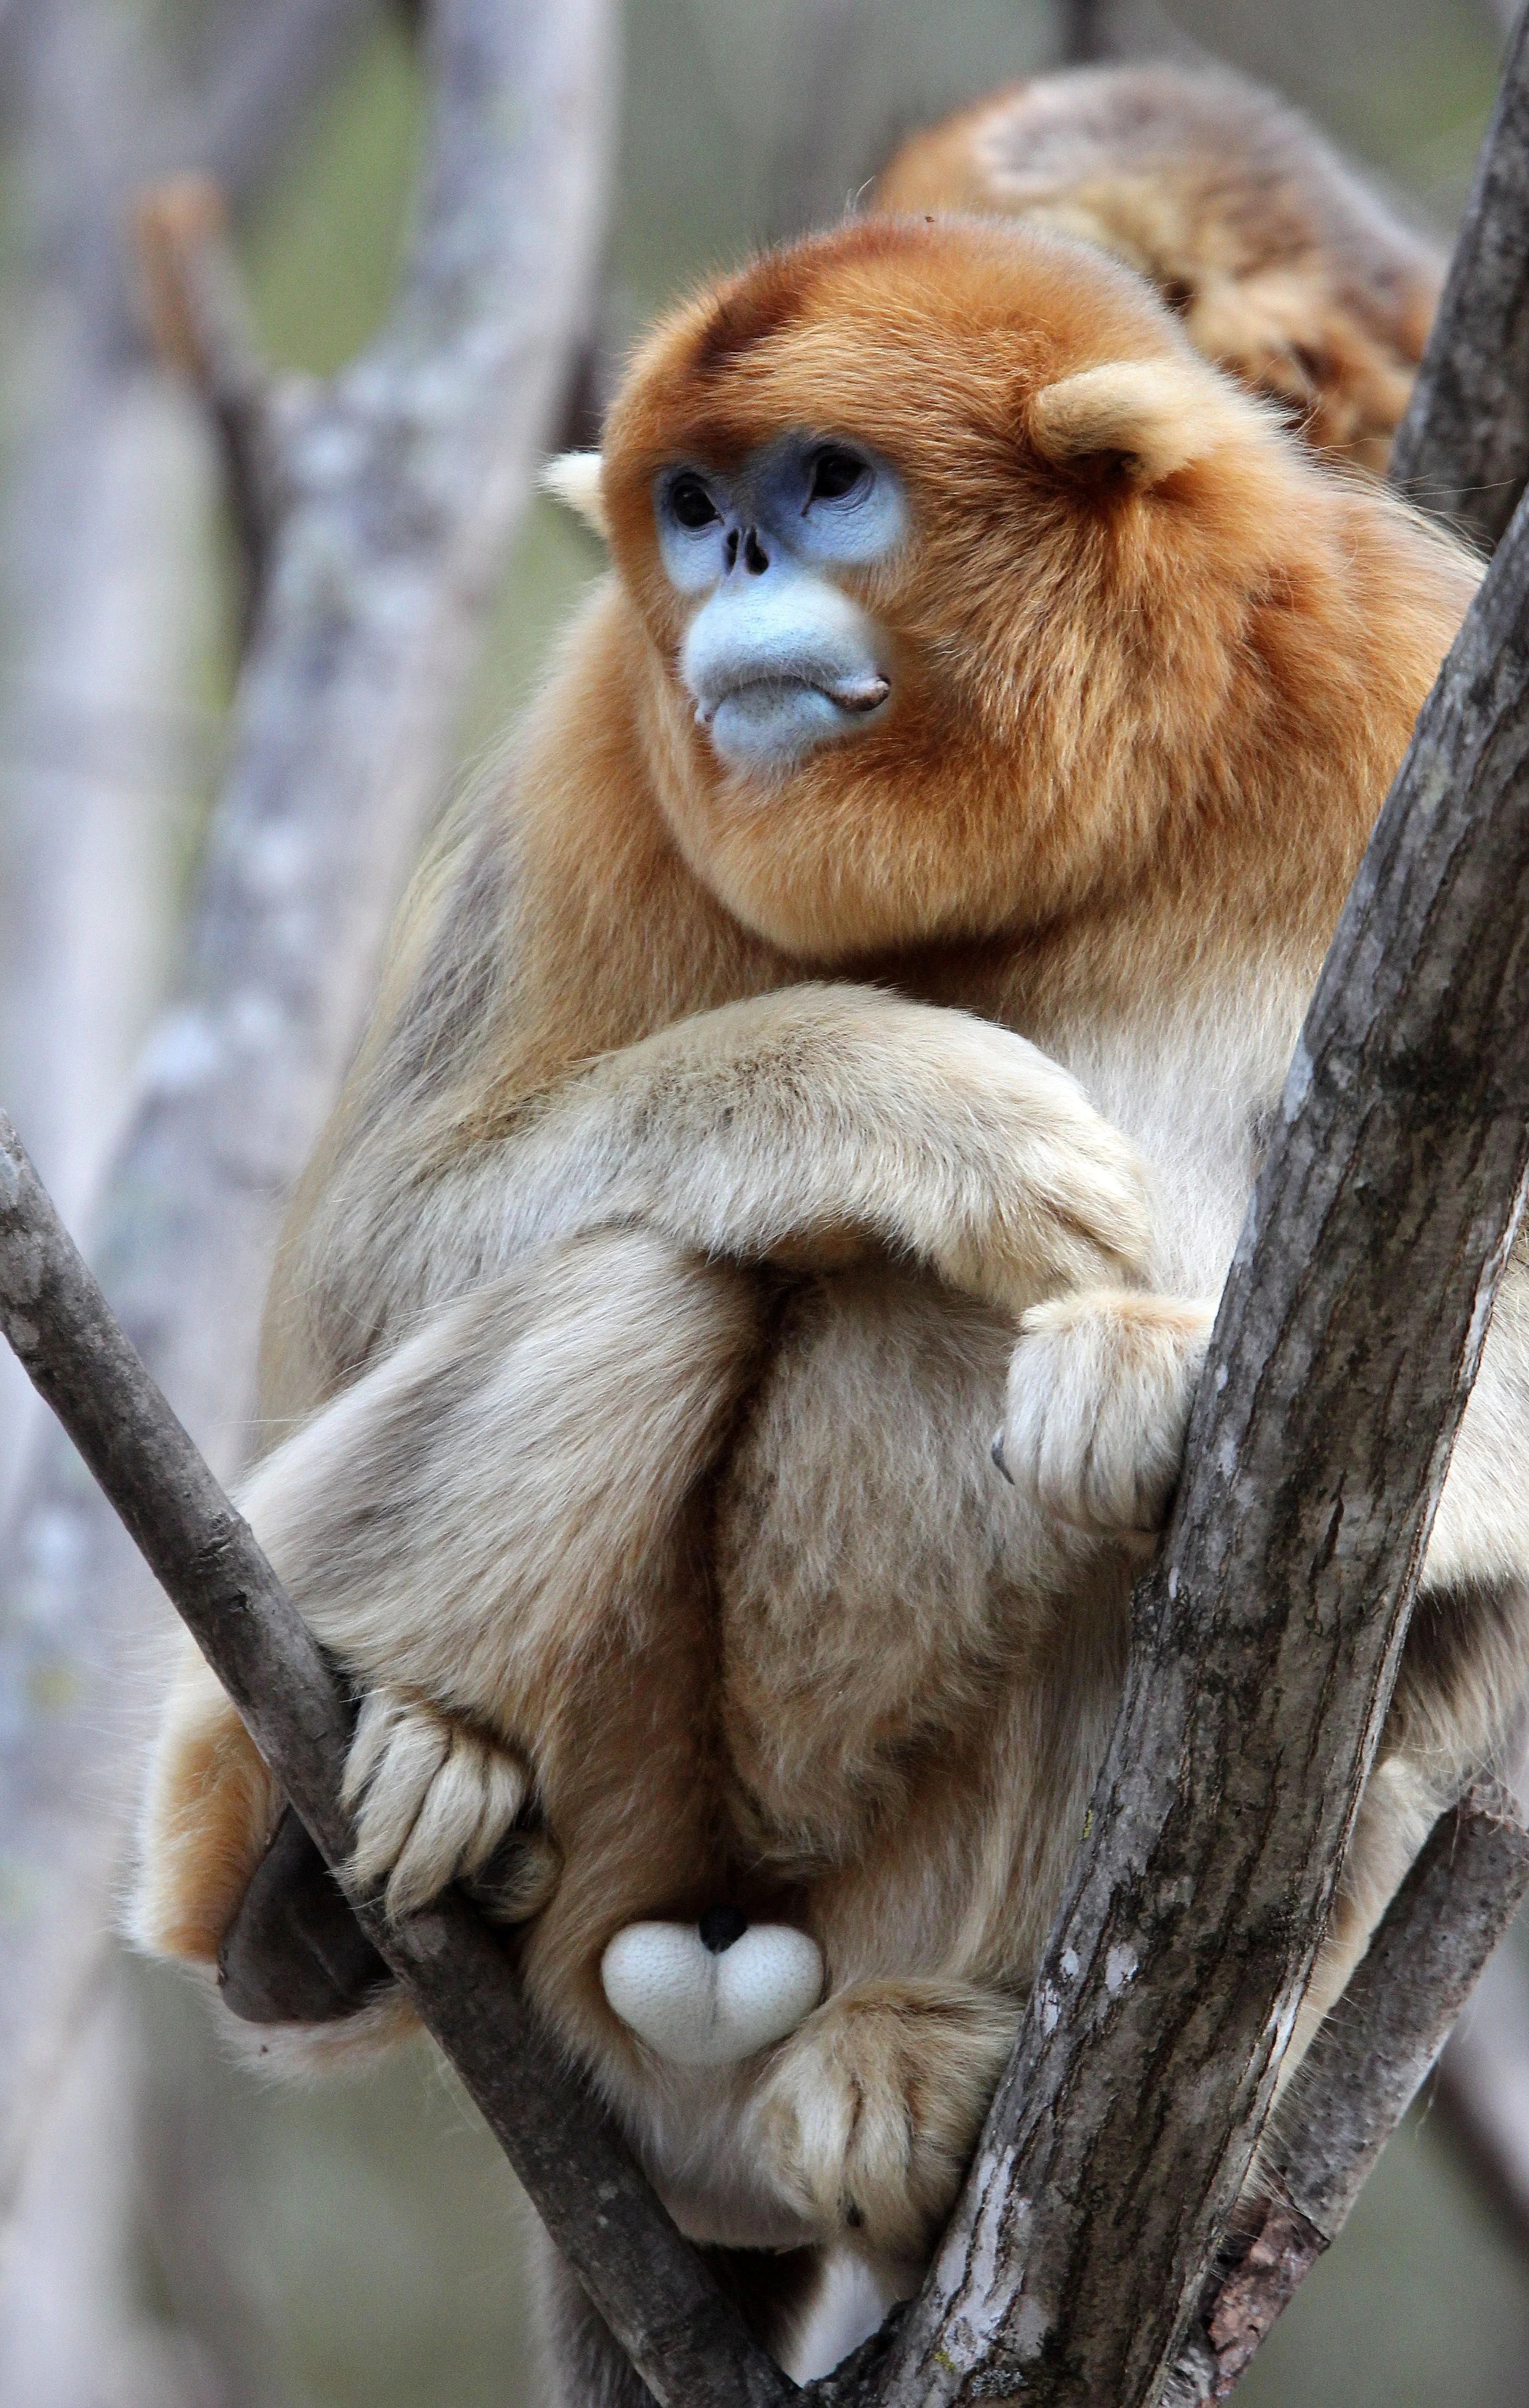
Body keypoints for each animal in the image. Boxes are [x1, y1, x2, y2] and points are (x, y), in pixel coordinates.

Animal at [130, 215, 1523, 2396]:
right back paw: (304, 1873)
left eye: (827, 485)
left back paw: (931, 2069)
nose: (736, 577)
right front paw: (916, 1106)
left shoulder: (1412, 678)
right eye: (694, 512)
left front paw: (1148, 1372)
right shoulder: (605, 742)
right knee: (647, 1276)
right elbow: (379, 1253)